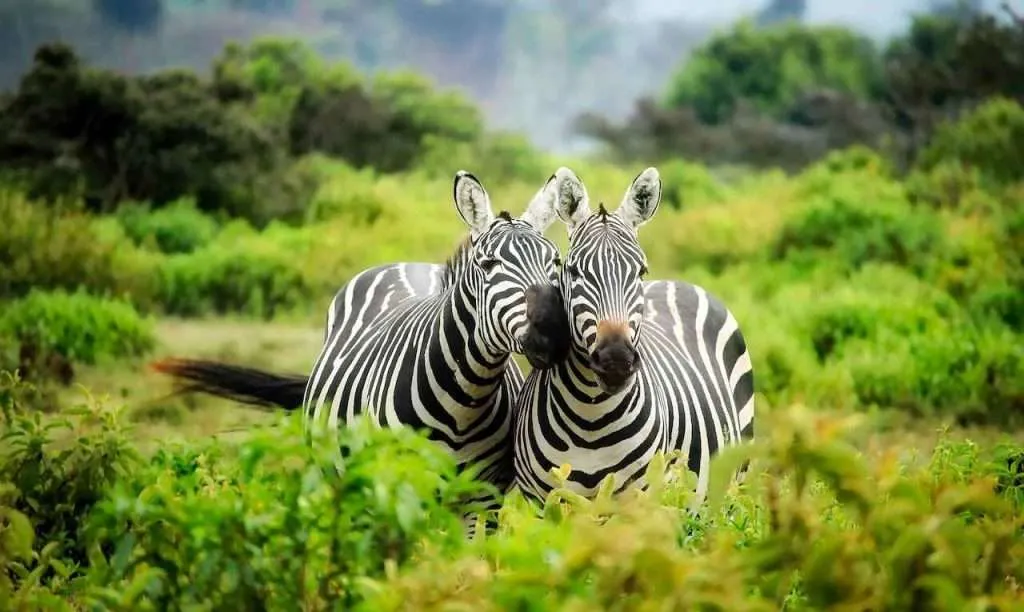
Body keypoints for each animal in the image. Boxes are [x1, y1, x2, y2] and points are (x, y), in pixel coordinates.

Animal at [152, 170, 571, 530]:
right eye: (488, 264)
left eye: (555, 261)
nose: (553, 330)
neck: (464, 402)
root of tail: (406, 263)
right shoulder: (396, 489)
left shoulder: (481, 501)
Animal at [512, 166, 755, 508]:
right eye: (573, 271)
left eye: (640, 271)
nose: (616, 360)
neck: (590, 419)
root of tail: (678, 282)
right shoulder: (542, 503)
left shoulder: (640, 501)